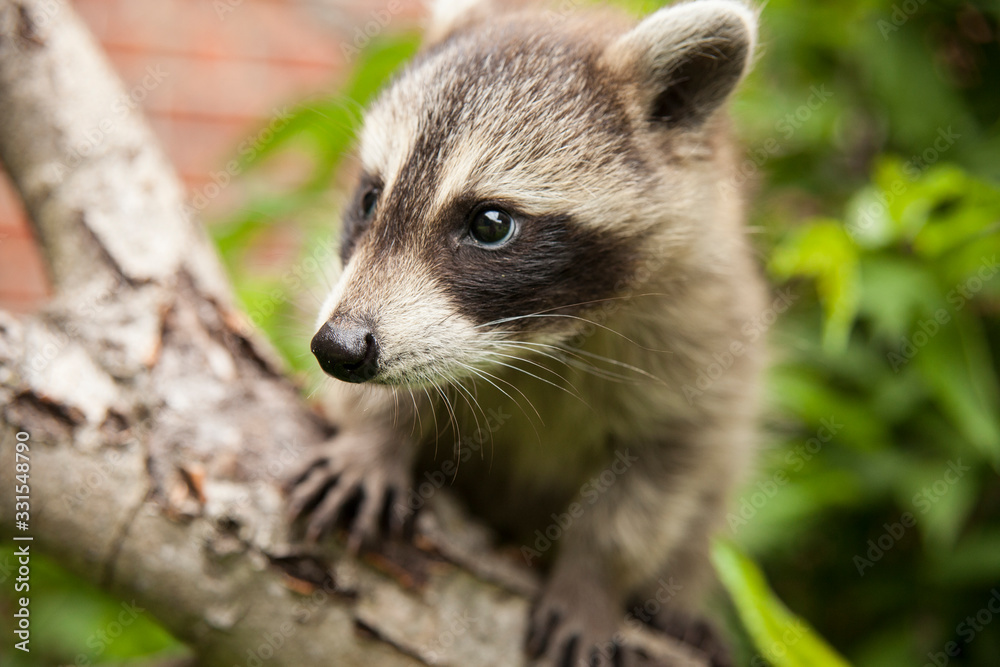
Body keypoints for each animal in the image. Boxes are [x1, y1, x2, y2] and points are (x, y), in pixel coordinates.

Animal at [290, 2, 764, 664]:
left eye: (490, 223)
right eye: (370, 198)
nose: (338, 349)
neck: (541, 341)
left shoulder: (706, 332)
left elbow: (658, 480)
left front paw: (593, 580)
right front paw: (372, 438)